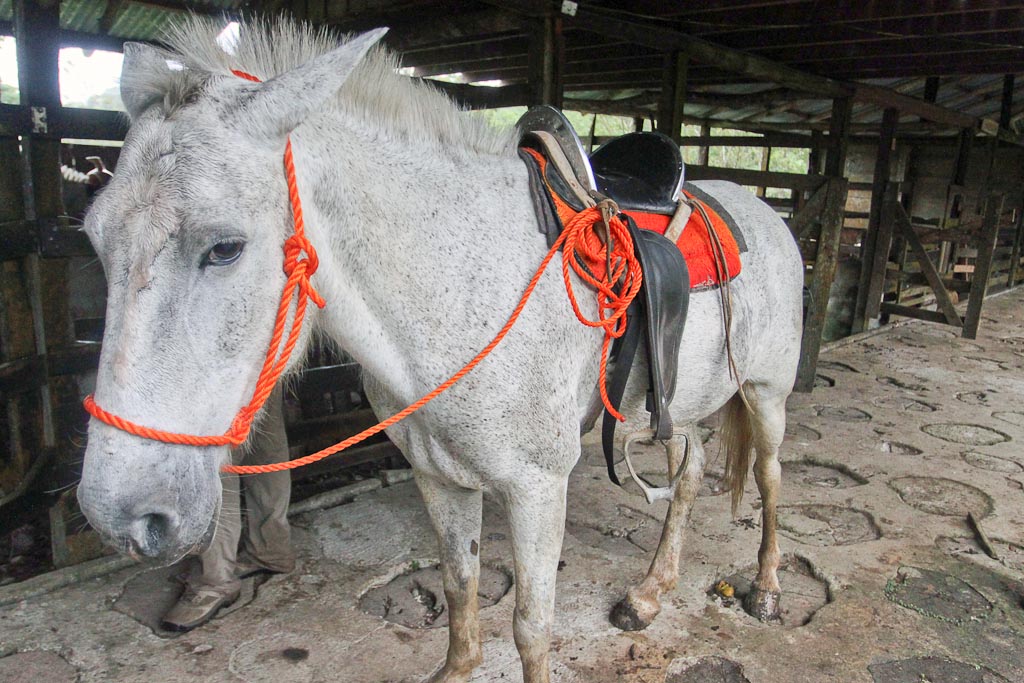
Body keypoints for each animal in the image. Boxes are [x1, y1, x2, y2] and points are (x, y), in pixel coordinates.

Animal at [75, 20, 802, 683]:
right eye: (94, 238)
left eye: (225, 247)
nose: (122, 517)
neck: (460, 288)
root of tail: (765, 211)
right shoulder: (437, 474)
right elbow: (460, 583)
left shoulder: (539, 486)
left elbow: (532, 628)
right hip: (676, 403)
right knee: (691, 472)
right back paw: (649, 595)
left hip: (766, 394)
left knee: (769, 478)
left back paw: (767, 590)